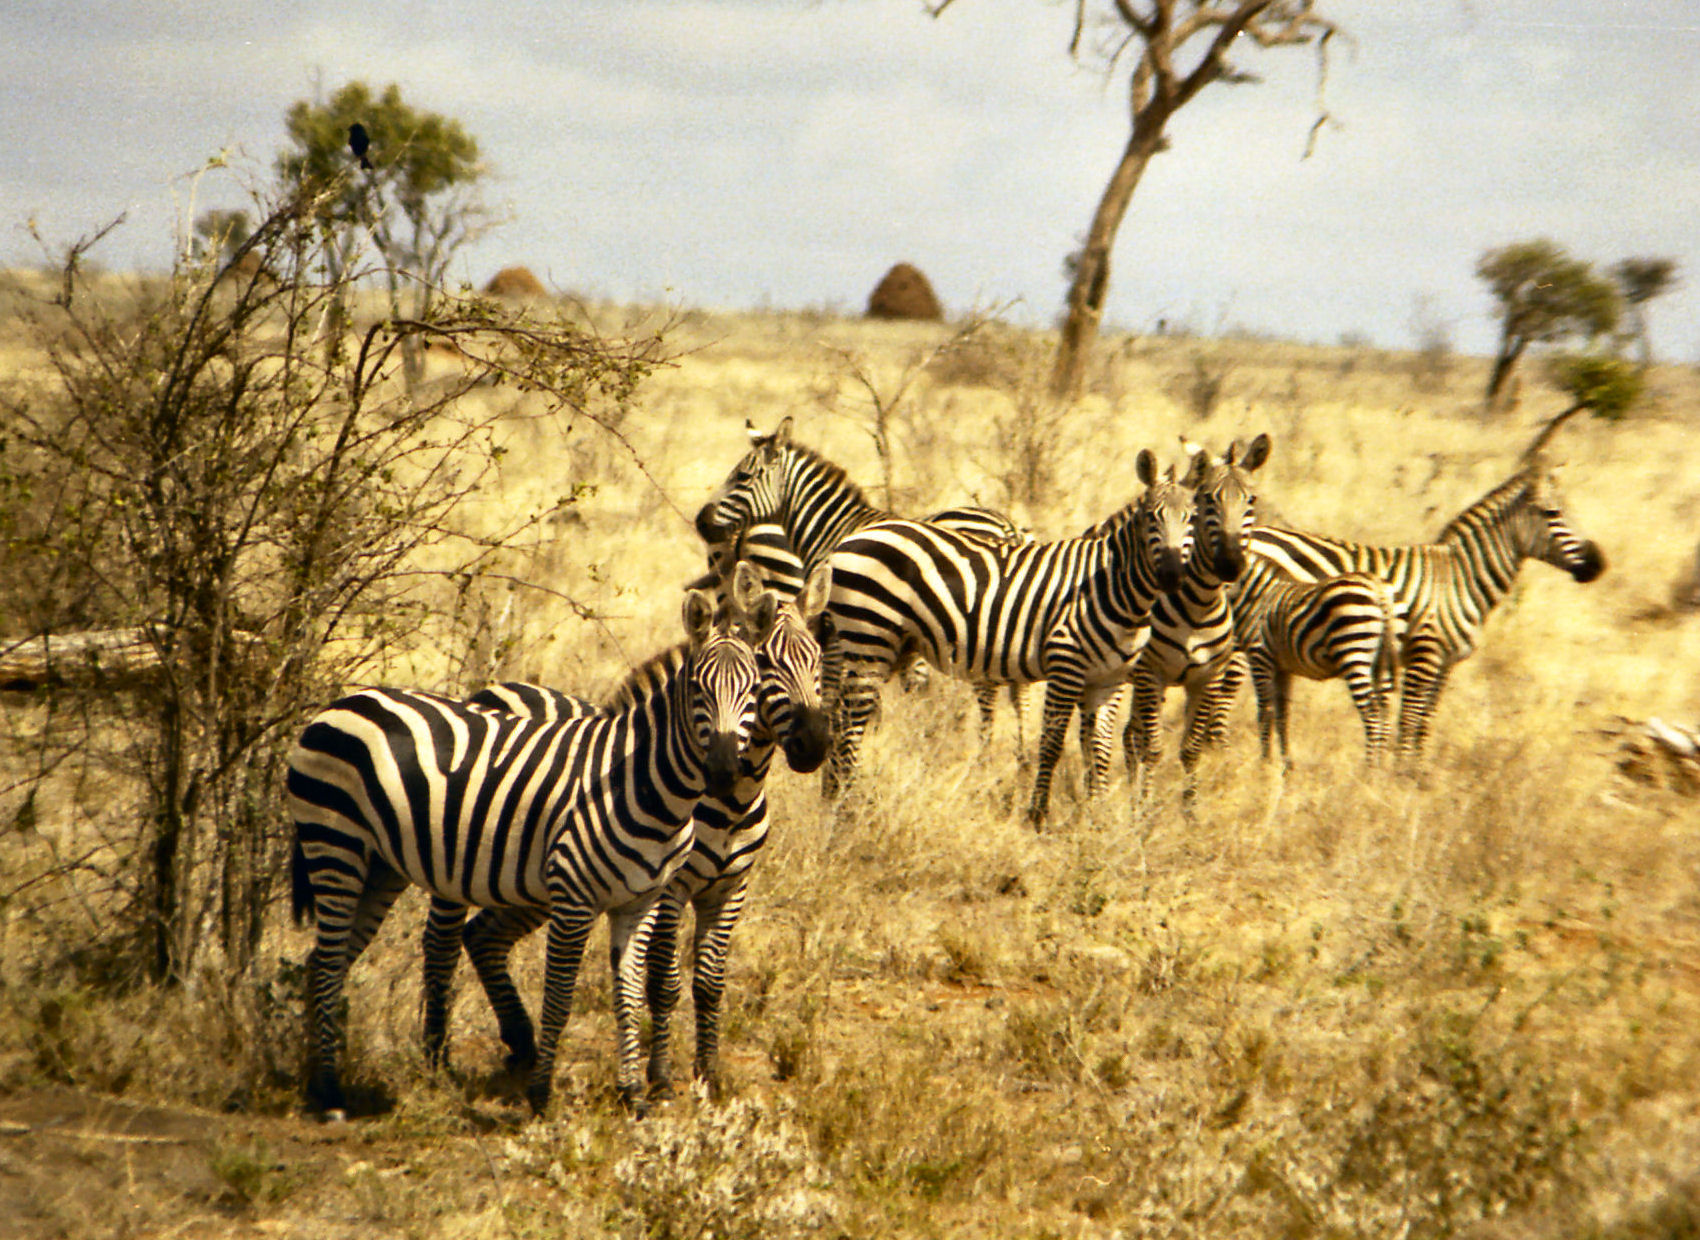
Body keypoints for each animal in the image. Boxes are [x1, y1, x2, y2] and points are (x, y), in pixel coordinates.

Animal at [287, 585, 770, 1119]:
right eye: (698, 692)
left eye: (754, 692)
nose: (724, 772)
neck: (644, 782)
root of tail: (343, 702)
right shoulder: (574, 897)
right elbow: (559, 996)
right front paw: (541, 1095)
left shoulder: (639, 901)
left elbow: (627, 994)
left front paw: (634, 1095)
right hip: (335, 843)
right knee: (330, 959)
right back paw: (330, 1091)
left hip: (381, 865)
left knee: (323, 962)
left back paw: (316, 1081)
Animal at [433, 562, 834, 1104]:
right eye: (768, 663)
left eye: (817, 659)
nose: (815, 745)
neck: (732, 800)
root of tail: (492, 690)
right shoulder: (669, 888)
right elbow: (663, 983)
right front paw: (660, 1079)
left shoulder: (731, 888)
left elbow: (710, 982)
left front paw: (708, 1076)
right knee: (446, 936)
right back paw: (439, 1053)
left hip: (522, 881)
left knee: (483, 935)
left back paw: (521, 1044)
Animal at [822, 450, 1195, 824]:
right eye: (1151, 518)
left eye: (1190, 519)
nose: (1172, 576)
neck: (1114, 587)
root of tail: (850, 539)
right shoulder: (1065, 664)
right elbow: (1051, 744)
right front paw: (1038, 815)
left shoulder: (1110, 679)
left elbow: (1099, 750)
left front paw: (1097, 816)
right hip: (869, 637)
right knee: (849, 724)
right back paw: (849, 808)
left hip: (871, 643)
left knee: (838, 717)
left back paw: (835, 796)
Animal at [1121, 435, 1269, 811]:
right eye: (1207, 500)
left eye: (1251, 500)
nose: (1230, 564)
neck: (1198, 604)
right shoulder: (1151, 673)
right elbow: (1153, 749)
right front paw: (1145, 814)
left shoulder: (1207, 678)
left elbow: (1191, 751)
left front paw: (1190, 813)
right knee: (1133, 738)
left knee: (1130, 735)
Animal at [1219, 450, 1605, 763]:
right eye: (1553, 513)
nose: (1597, 565)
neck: (1458, 581)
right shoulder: (1424, 654)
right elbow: (1408, 720)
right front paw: (1399, 777)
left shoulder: (1445, 662)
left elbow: (1424, 723)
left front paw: (1417, 777)